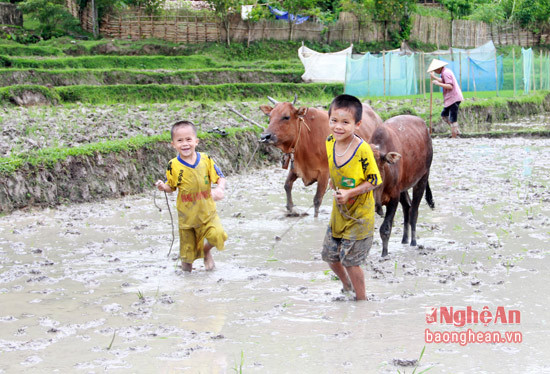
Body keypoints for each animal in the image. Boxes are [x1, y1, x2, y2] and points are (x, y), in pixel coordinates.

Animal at [370, 114, 436, 258]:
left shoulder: (393, 198)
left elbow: (385, 228)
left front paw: (384, 253)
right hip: (403, 187)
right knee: (407, 206)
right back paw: (404, 239)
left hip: (422, 178)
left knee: (413, 211)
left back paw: (413, 241)